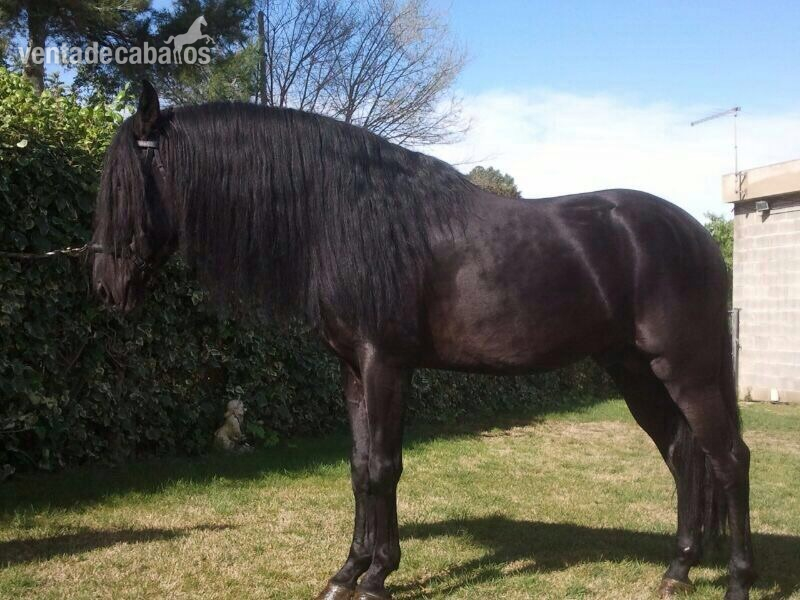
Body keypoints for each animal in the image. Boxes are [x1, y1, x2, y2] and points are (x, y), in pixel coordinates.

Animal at [91, 81, 755, 600]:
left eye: (124, 186)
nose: (103, 285)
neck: (347, 217)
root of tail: (698, 235)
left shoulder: (386, 363)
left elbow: (385, 467)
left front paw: (377, 576)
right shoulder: (352, 370)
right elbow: (360, 467)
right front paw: (347, 571)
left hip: (687, 368)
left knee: (728, 459)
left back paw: (737, 579)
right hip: (635, 370)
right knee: (684, 455)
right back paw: (678, 570)